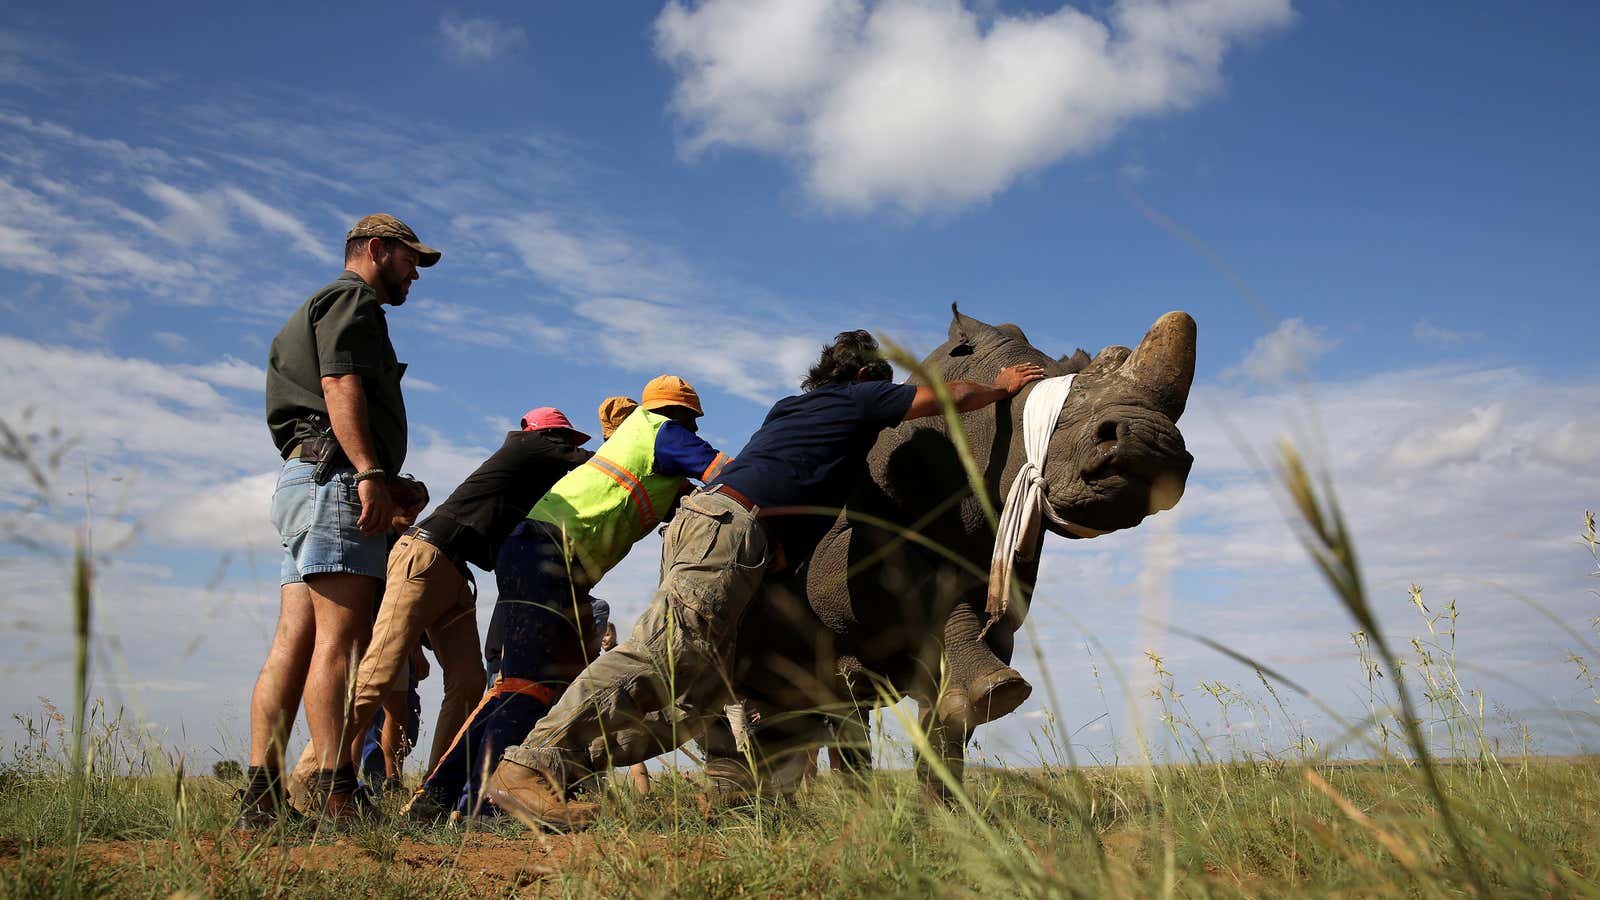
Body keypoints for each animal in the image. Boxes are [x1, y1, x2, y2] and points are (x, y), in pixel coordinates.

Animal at [697, 302, 1190, 791]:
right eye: (1049, 415)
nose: (1153, 446)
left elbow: (948, 728)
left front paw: (947, 800)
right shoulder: (842, 554)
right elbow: (923, 585)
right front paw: (998, 689)